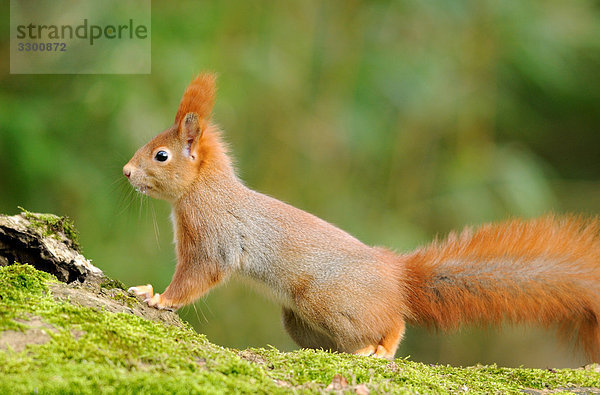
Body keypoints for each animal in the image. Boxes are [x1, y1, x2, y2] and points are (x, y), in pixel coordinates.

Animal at [125, 73, 600, 362]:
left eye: (161, 155)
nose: (127, 172)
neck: (203, 190)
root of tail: (397, 277)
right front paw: (147, 288)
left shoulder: (213, 237)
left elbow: (198, 276)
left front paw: (160, 298)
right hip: (301, 319)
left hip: (329, 300)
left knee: (394, 324)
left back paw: (379, 350)